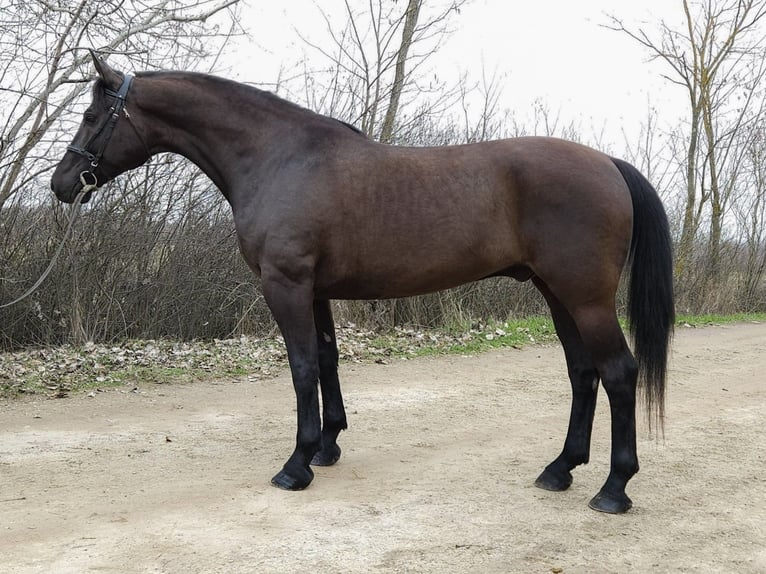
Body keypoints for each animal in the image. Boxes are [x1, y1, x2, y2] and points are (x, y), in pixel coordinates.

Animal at [51, 51, 674, 514]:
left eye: (90, 117)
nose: (61, 184)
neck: (280, 159)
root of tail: (608, 163)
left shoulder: (286, 286)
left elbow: (302, 367)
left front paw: (296, 466)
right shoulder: (316, 291)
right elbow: (327, 361)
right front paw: (327, 448)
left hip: (586, 298)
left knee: (619, 373)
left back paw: (614, 490)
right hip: (556, 294)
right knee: (583, 373)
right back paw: (560, 470)